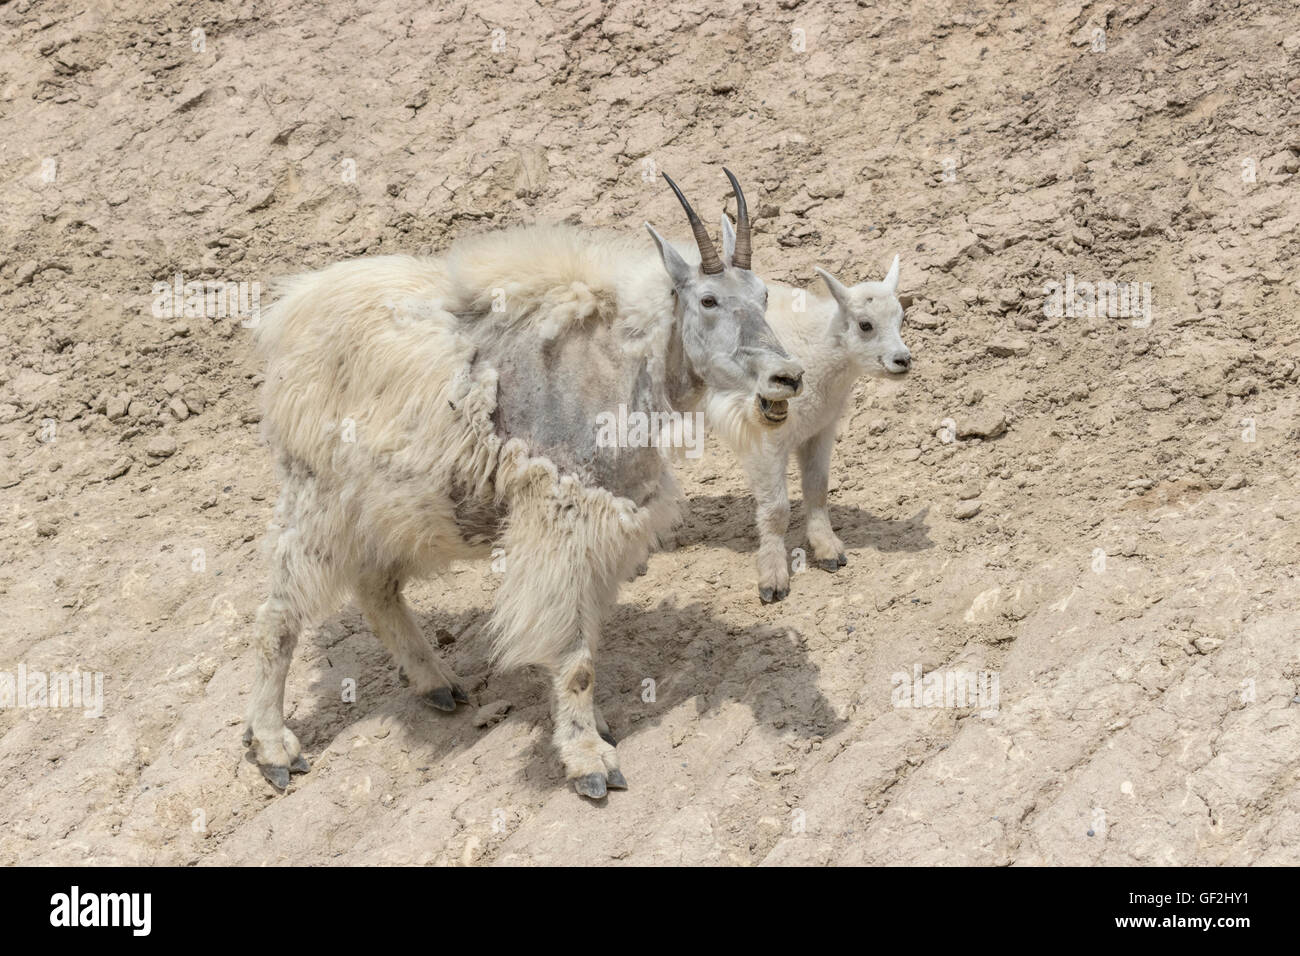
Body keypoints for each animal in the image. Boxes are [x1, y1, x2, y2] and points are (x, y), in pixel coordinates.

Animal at [244, 171, 804, 798]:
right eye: (708, 300)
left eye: (763, 295)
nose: (787, 377)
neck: (626, 370)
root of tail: (291, 315)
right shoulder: (560, 521)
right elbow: (576, 658)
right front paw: (590, 763)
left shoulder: (605, 527)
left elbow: (580, 641)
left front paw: (591, 729)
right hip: (318, 492)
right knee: (278, 616)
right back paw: (274, 747)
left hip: (392, 505)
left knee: (375, 585)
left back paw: (437, 684)